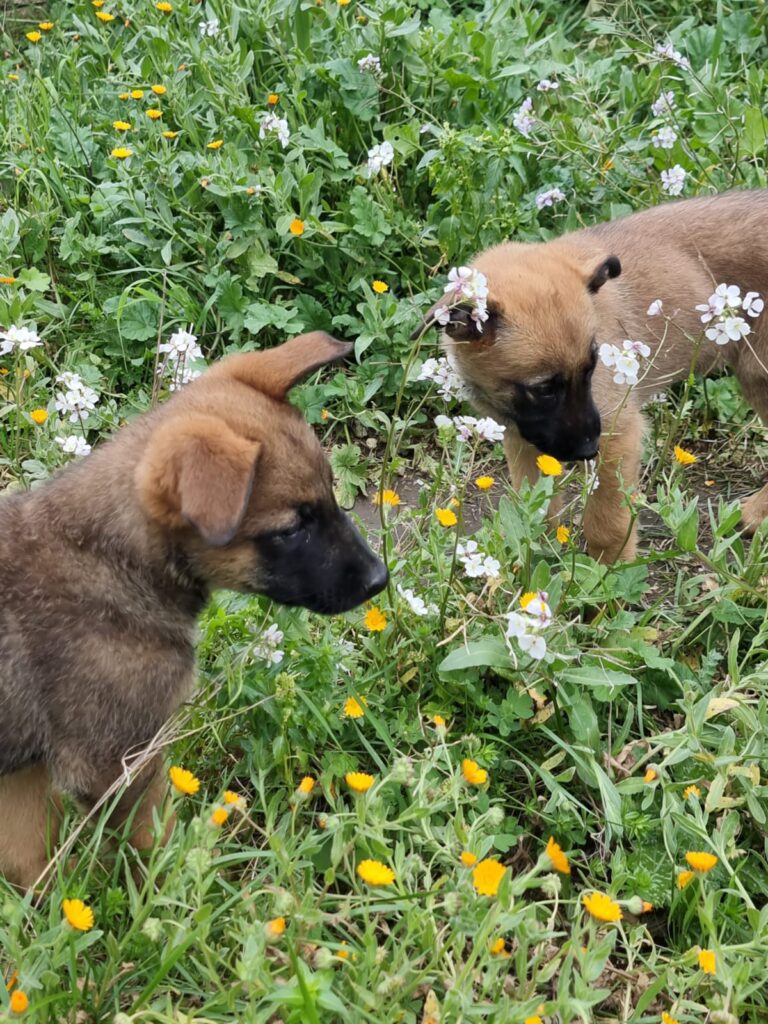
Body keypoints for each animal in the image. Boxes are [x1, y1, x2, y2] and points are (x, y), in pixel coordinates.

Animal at [0, 329, 387, 888]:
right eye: (291, 529)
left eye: (333, 495)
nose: (380, 580)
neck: (113, 560)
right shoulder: (116, 765)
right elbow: (152, 848)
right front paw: (178, 894)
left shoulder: (23, 777)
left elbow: (31, 864)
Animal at [423, 190, 768, 561]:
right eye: (544, 389)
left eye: (591, 369)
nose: (589, 449)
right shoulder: (522, 438)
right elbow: (534, 504)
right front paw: (532, 555)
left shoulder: (619, 433)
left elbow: (607, 519)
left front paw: (610, 569)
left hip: (757, 371)